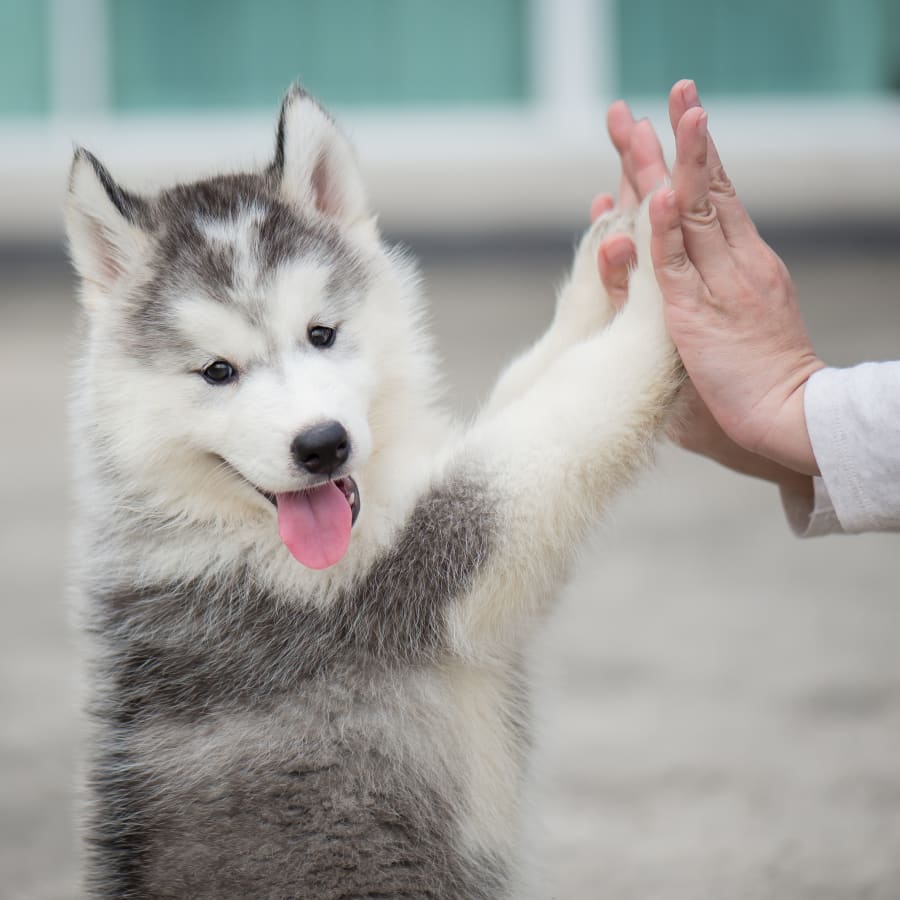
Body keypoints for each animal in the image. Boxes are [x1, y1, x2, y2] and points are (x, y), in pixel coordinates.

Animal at [65, 86, 684, 900]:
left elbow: (534, 381)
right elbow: (563, 415)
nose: (322, 444)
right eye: (218, 371)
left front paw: (606, 266)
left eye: (322, 334)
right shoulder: (422, 563)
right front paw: (665, 273)